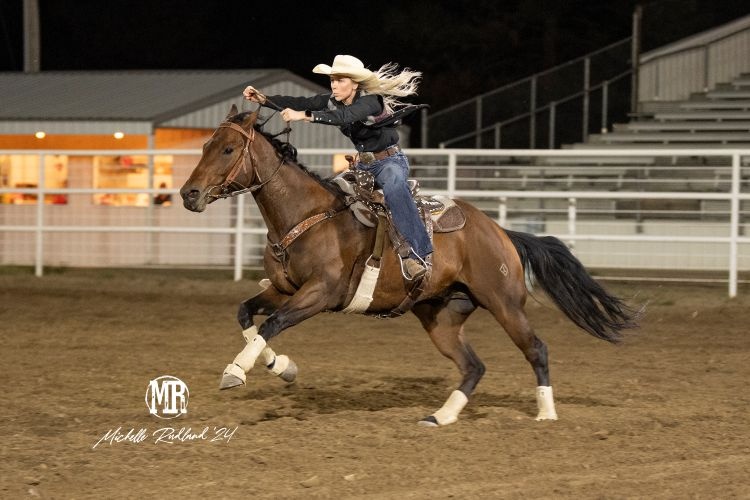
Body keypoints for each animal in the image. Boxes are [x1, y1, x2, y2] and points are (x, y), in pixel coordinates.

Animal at [180, 105, 639, 426]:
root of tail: (501, 232)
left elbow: (272, 323)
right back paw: (442, 416)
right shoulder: (283, 290)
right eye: (204, 146)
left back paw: (546, 413)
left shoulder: (319, 294)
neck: (306, 216)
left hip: (505, 304)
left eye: (228, 149)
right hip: (441, 316)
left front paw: (236, 371)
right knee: (473, 366)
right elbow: (247, 314)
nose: (189, 194)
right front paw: (283, 368)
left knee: (536, 349)